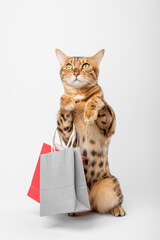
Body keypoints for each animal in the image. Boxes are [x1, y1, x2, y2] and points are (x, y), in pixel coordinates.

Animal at [55, 48, 125, 218]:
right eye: (68, 66)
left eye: (85, 65)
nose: (76, 72)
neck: (79, 96)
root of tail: (91, 202)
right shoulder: (68, 136)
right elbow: (63, 110)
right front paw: (66, 101)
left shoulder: (110, 126)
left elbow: (100, 101)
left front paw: (90, 110)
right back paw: (73, 212)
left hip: (110, 184)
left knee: (115, 200)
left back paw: (117, 209)